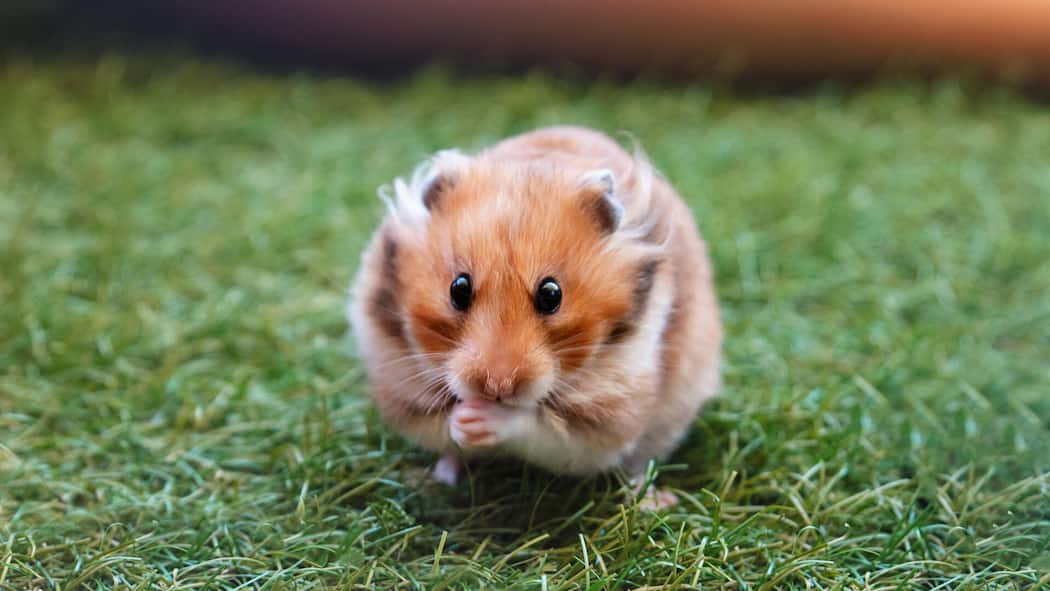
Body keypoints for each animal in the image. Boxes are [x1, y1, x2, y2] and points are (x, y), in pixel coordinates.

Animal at [348, 126, 722, 498]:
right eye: (459, 289)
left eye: (551, 295)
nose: (496, 386)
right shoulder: (402, 384)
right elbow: (442, 426)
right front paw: (464, 420)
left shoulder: (608, 413)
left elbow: (537, 426)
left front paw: (483, 418)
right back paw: (432, 480)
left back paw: (652, 499)